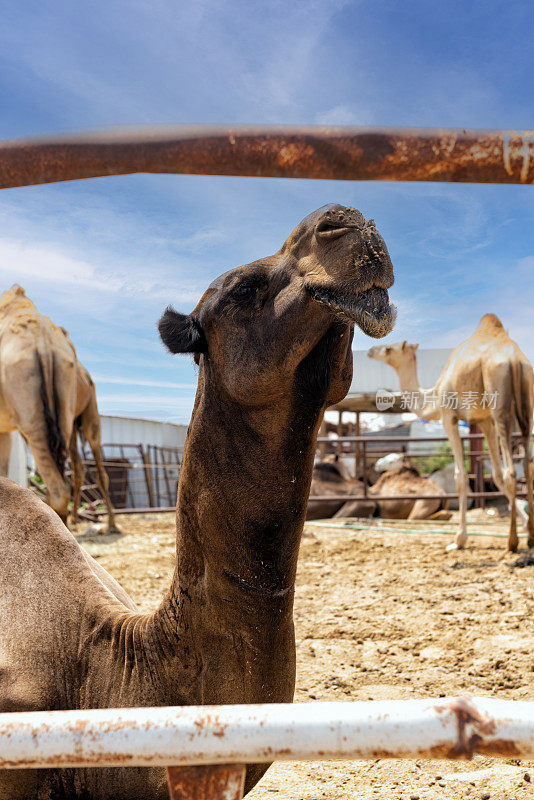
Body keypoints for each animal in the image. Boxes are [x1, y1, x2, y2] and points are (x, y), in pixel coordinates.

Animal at [0, 284, 118, 536]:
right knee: (75, 470)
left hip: (53, 416)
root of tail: (42, 343)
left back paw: (109, 525)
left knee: (78, 478)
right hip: (63, 411)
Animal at [368, 314, 534, 552]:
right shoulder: (484, 421)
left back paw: (511, 542)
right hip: (526, 405)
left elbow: (461, 477)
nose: (371, 350)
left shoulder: (449, 417)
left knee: (511, 471)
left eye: (389, 349)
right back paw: (529, 537)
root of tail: (514, 360)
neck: (433, 395)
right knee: (527, 465)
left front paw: (459, 539)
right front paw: (527, 524)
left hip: (500, 405)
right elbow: (495, 475)